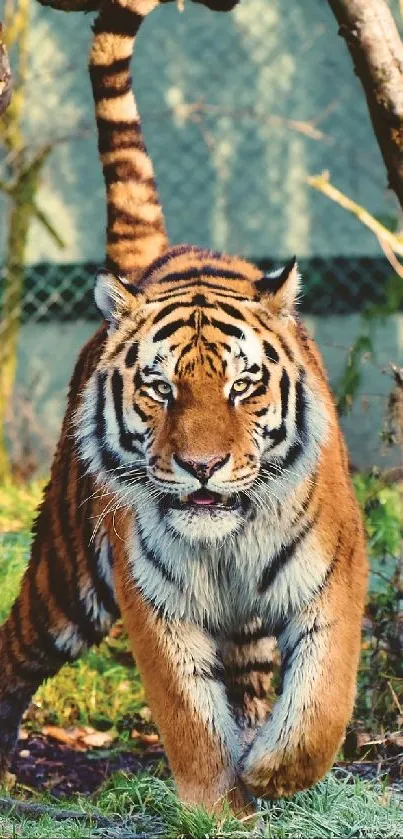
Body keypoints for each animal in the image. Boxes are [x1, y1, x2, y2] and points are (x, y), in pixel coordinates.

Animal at [0, 0, 368, 816]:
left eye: (242, 385)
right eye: (160, 388)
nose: (201, 467)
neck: (225, 543)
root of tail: (159, 258)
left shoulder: (333, 578)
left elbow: (321, 704)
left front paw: (272, 773)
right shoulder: (155, 604)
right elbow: (190, 721)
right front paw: (216, 807)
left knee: (256, 684)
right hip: (68, 575)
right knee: (14, 650)